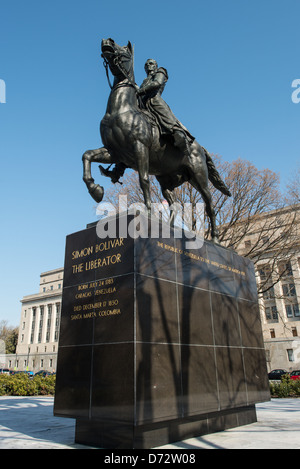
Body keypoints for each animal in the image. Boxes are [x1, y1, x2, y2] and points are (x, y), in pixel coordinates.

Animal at [82, 37, 230, 241]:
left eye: (124, 49)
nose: (107, 41)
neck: (121, 109)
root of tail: (200, 147)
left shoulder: (140, 148)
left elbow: (143, 180)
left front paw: (148, 213)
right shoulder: (114, 153)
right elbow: (87, 155)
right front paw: (96, 190)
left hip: (199, 177)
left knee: (210, 205)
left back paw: (215, 238)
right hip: (167, 180)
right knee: (174, 202)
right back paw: (170, 228)